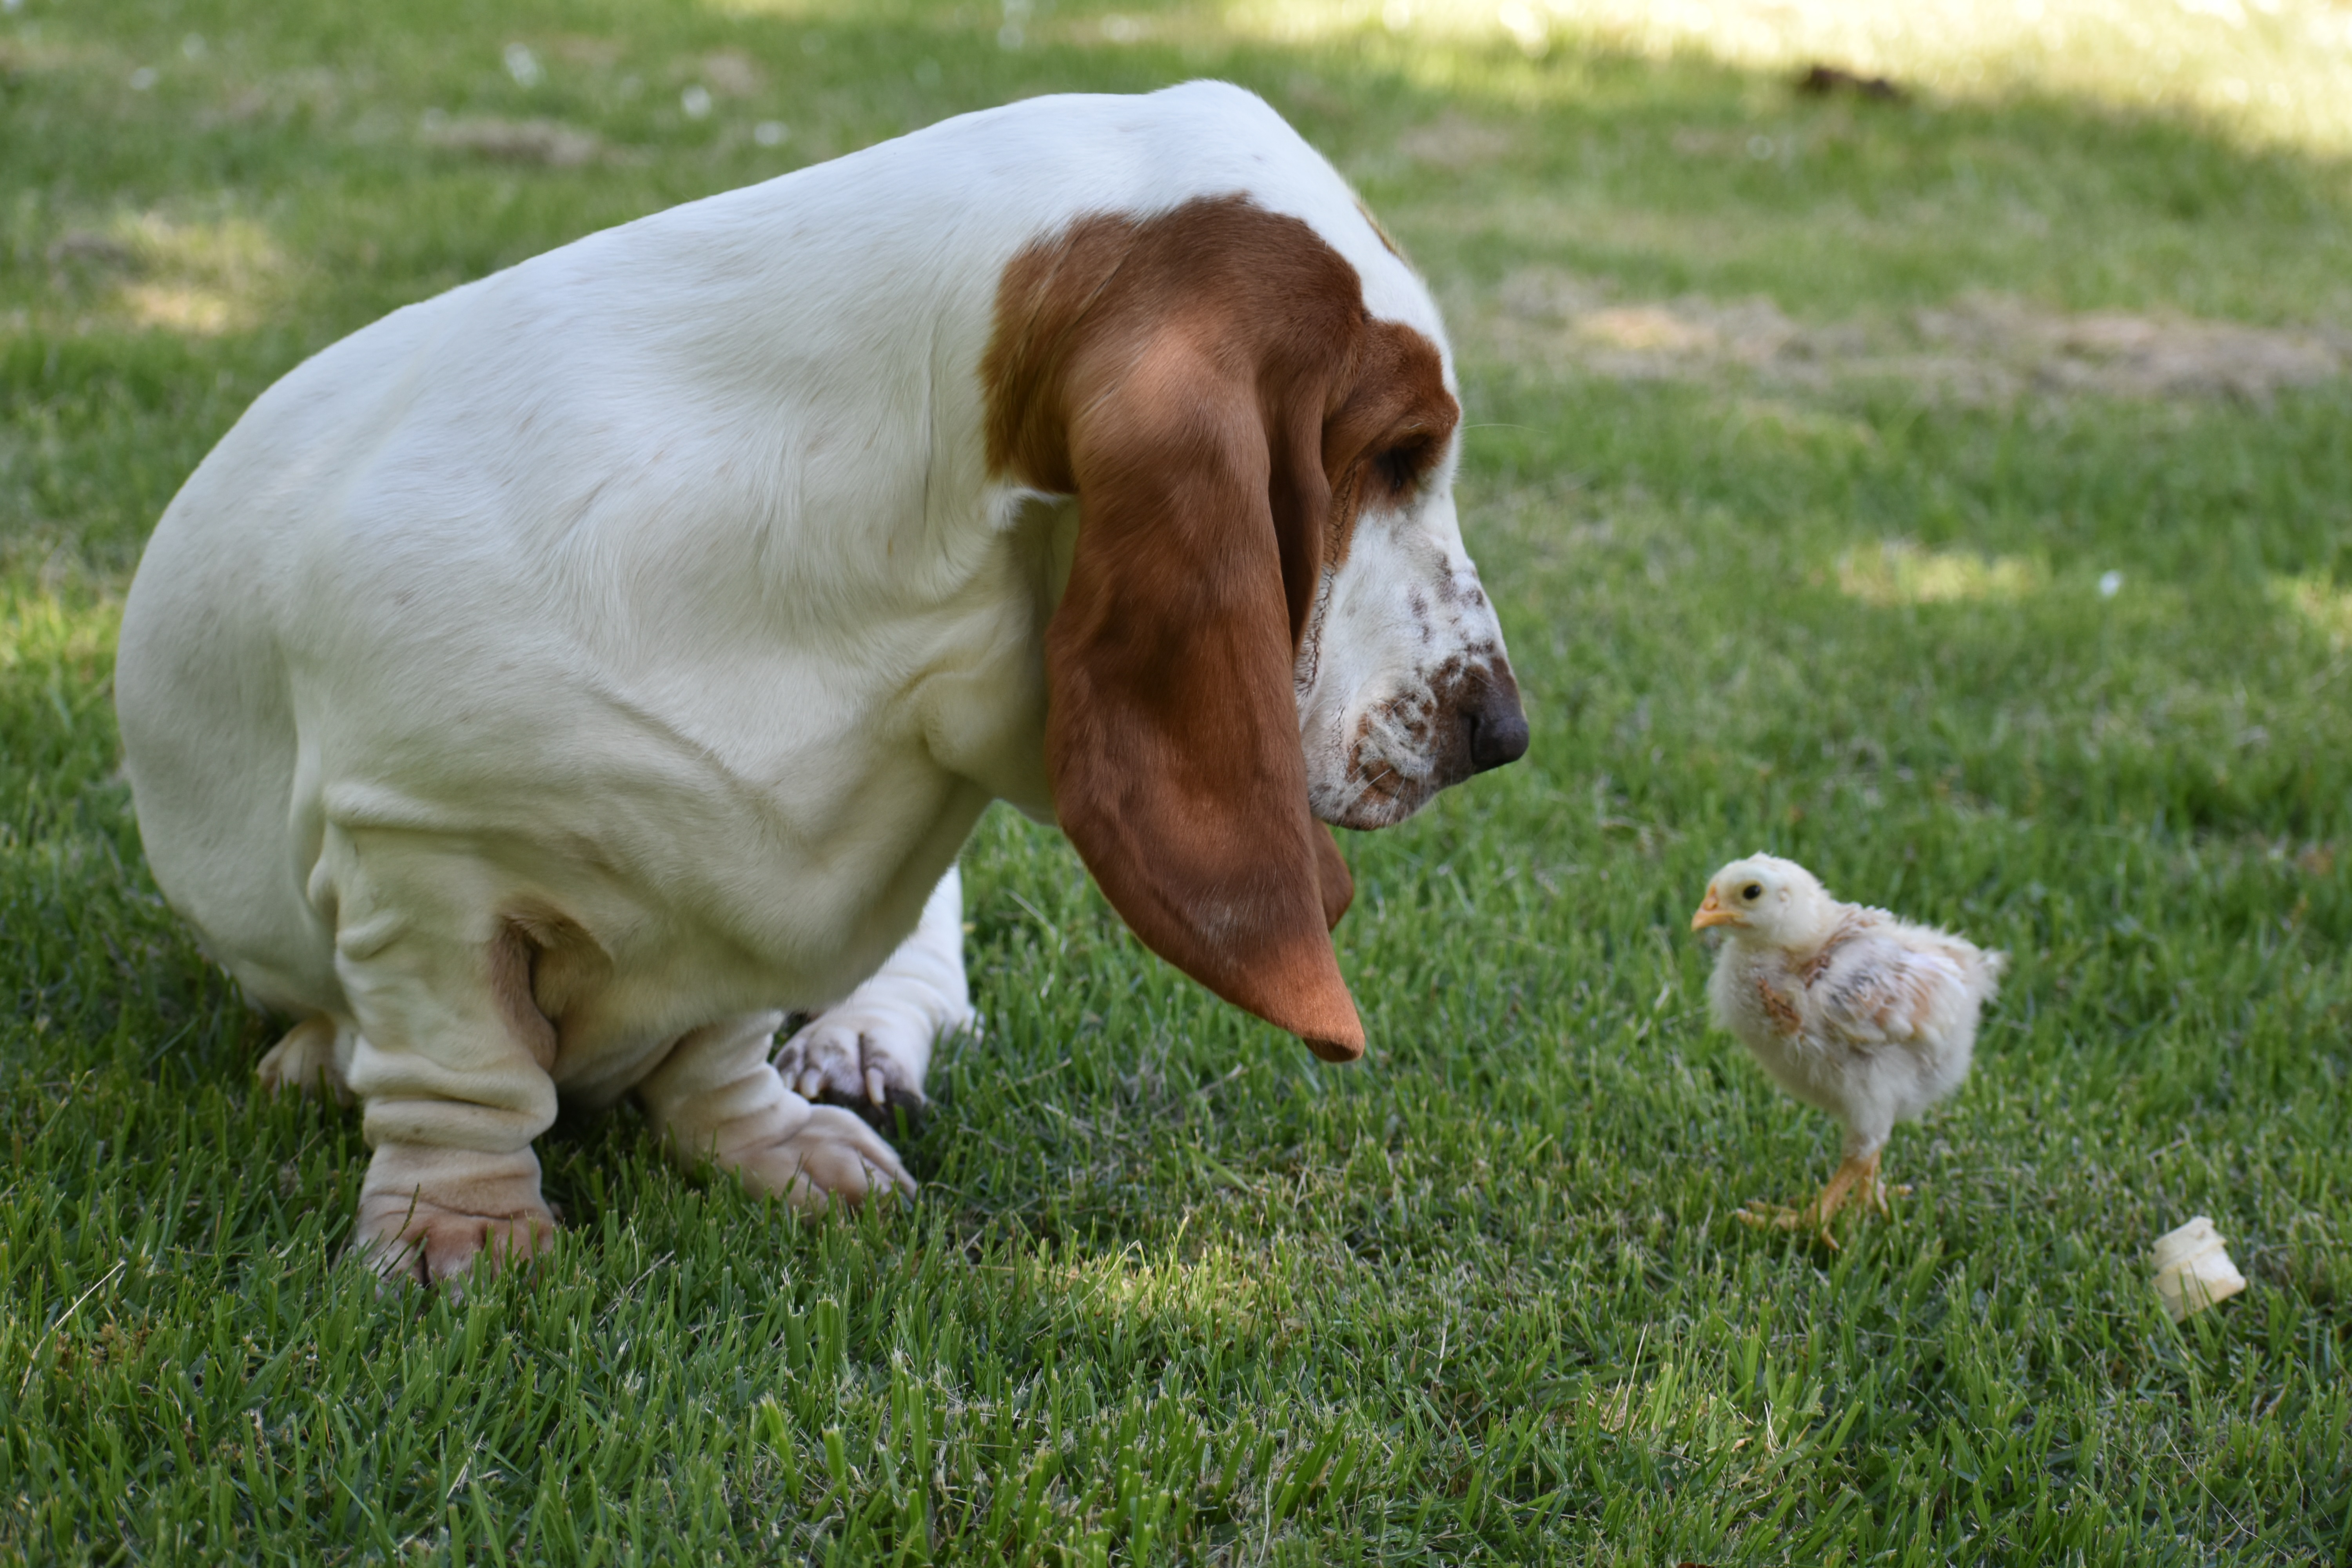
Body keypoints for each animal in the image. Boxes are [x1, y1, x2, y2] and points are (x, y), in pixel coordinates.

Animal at [114, 80, 1524, 1279]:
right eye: (1398, 455)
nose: (1502, 731)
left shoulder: (755, 897)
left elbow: (720, 1048)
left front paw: (780, 1142)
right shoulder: (425, 859)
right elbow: (466, 1069)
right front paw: (455, 1231)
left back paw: (854, 1048)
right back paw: (317, 1055)